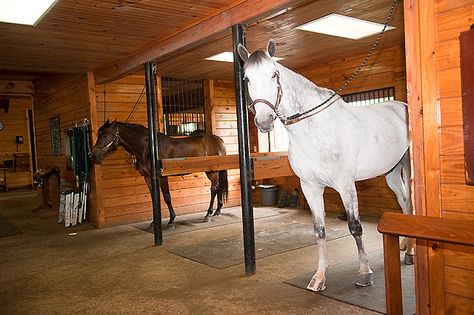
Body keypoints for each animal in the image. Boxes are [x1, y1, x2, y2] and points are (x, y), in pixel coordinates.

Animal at [91, 120, 230, 227]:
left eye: (105, 135)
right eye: (99, 134)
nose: (93, 156)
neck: (149, 149)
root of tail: (219, 140)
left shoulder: (162, 177)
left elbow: (167, 197)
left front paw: (171, 220)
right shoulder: (148, 177)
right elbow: (154, 198)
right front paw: (154, 222)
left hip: (212, 172)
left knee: (213, 189)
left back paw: (208, 214)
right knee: (218, 188)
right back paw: (217, 210)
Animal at [239, 40, 412, 292]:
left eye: (274, 74)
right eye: (247, 79)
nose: (264, 121)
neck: (315, 129)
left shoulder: (346, 185)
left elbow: (355, 227)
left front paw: (364, 273)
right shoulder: (310, 187)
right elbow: (319, 230)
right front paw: (319, 277)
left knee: (410, 204)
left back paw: (410, 253)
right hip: (391, 173)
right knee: (404, 202)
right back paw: (406, 247)